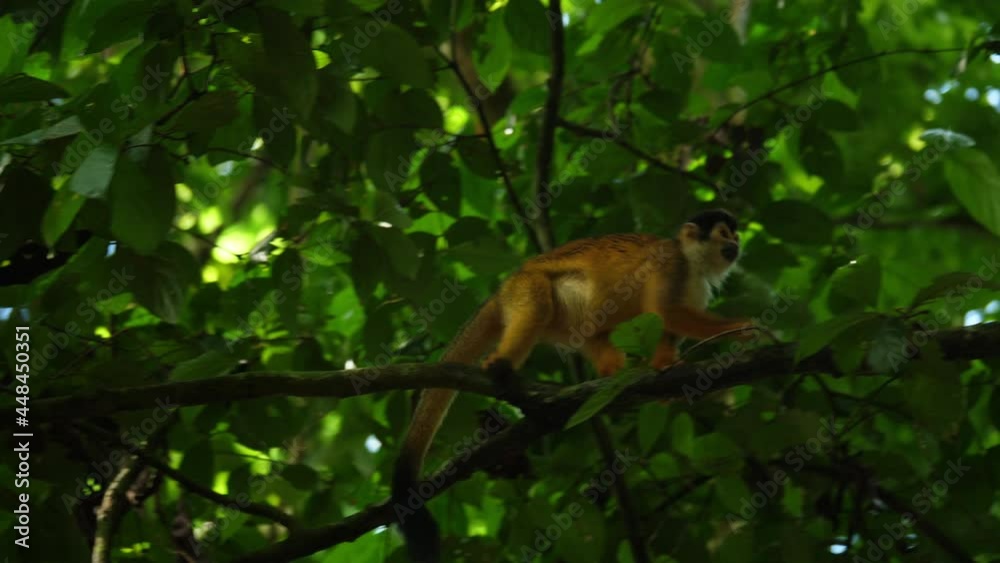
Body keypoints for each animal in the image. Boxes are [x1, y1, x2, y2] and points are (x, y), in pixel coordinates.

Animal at [392, 209, 755, 562]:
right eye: (725, 234)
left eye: (735, 235)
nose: (736, 244)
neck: (693, 264)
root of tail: (504, 286)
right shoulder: (673, 263)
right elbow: (666, 312)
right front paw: (742, 327)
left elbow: (667, 326)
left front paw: (665, 364)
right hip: (525, 287)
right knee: (539, 303)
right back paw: (499, 367)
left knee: (594, 330)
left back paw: (610, 374)